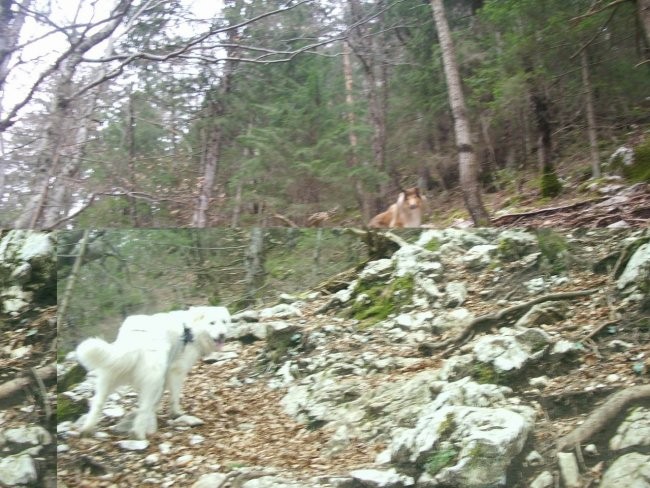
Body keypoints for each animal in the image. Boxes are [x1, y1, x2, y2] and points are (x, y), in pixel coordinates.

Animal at [75, 304, 230, 438]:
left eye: (224, 322)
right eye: (212, 323)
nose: (222, 334)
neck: (193, 329)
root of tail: (135, 338)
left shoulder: (166, 374)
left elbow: (158, 399)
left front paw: (156, 412)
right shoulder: (176, 371)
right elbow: (174, 397)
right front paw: (176, 413)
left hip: (110, 376)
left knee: (98, 403)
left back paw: (87, 429)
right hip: (154, 377)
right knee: (143, 407)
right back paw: (139, 435)